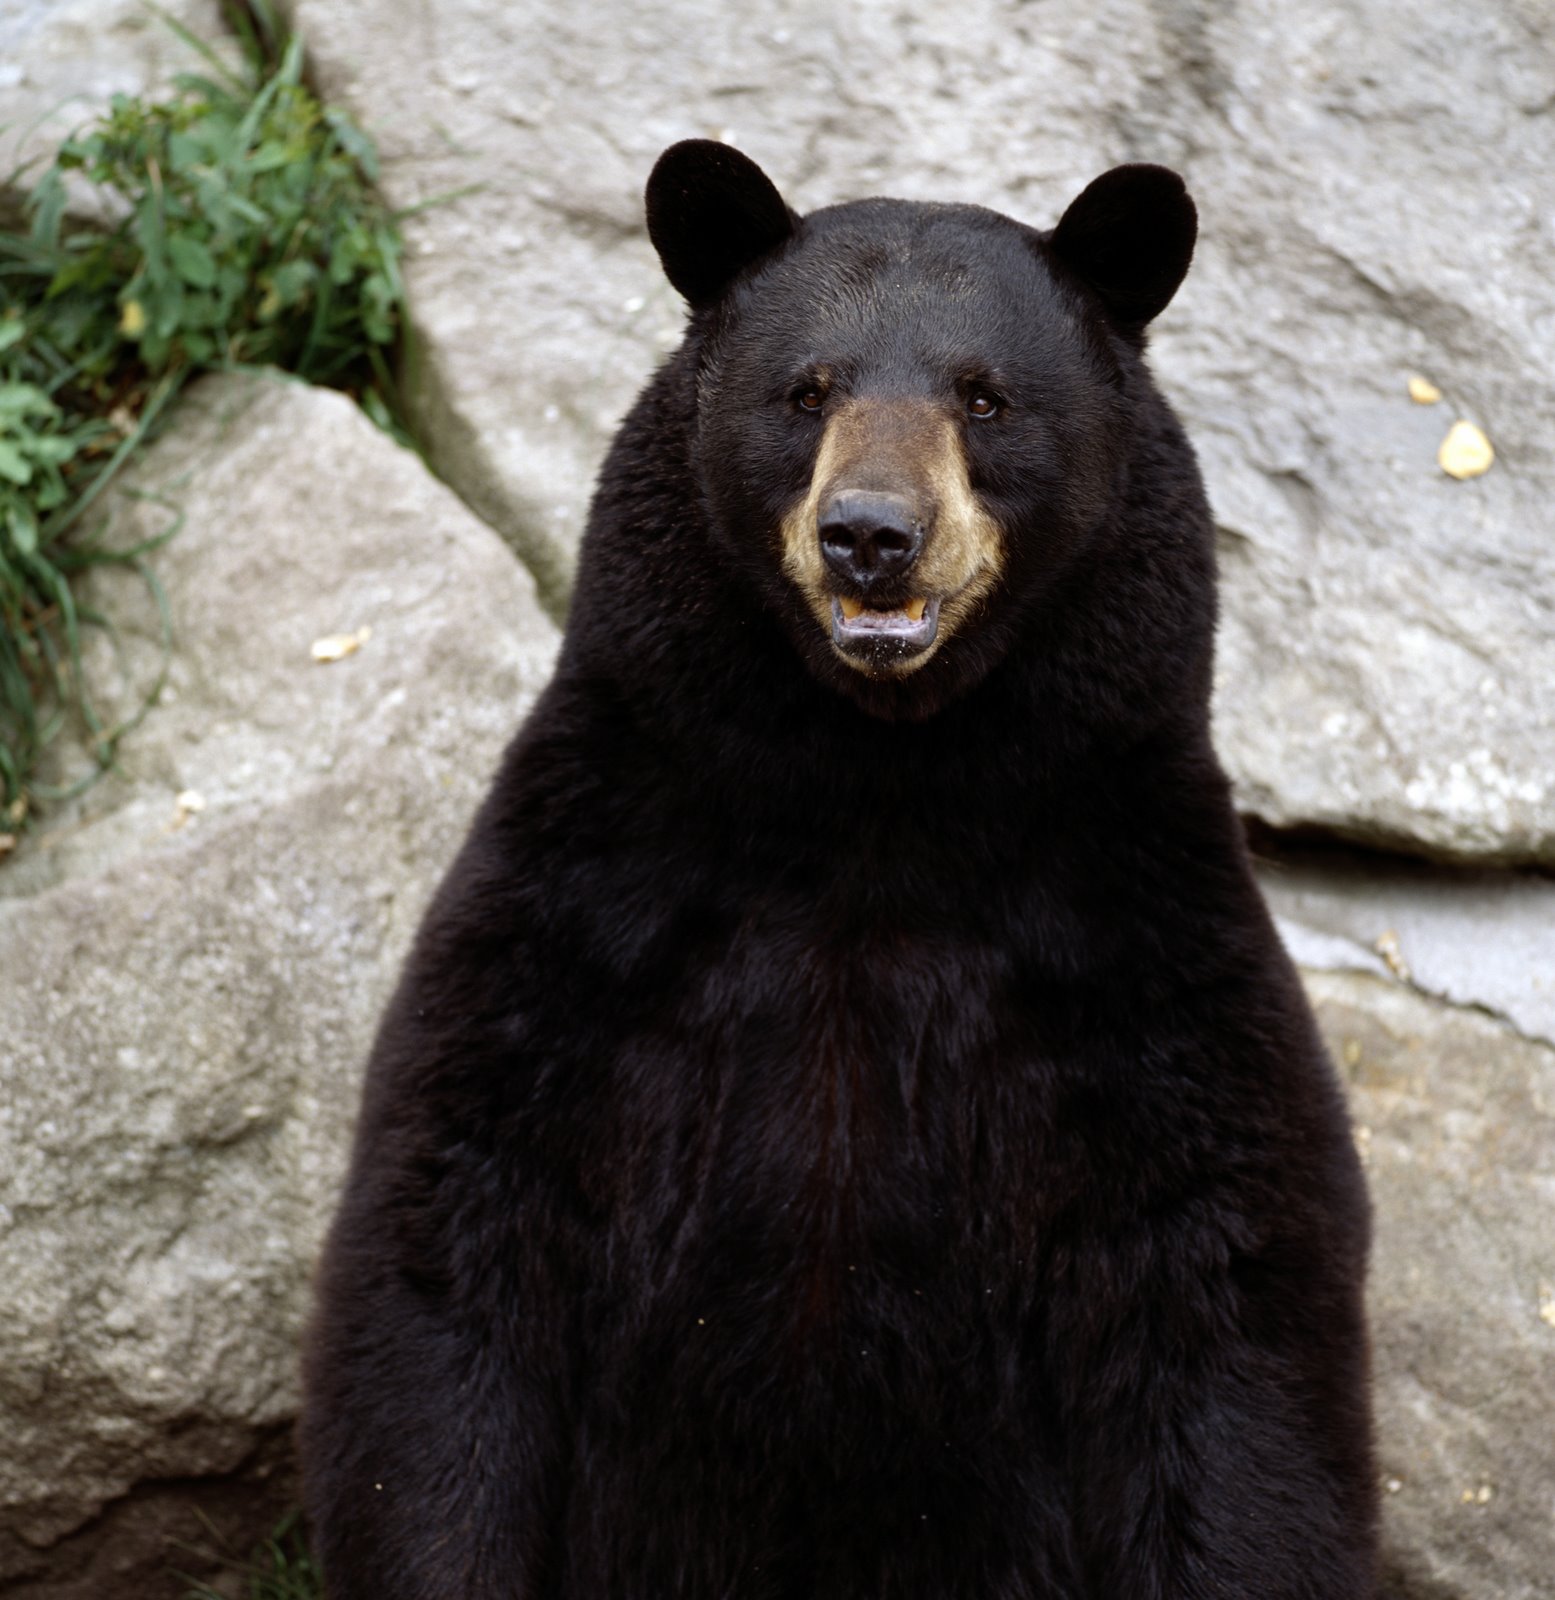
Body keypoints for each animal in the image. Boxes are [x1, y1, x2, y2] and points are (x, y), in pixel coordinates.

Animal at [300, 144, 1375, 1593]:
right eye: (805, 391)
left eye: (982, 396)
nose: (871, 534)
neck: (876, 794)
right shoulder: (594, 898)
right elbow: (459, 1226)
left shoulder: (1127, 933)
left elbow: (1221, 1287)